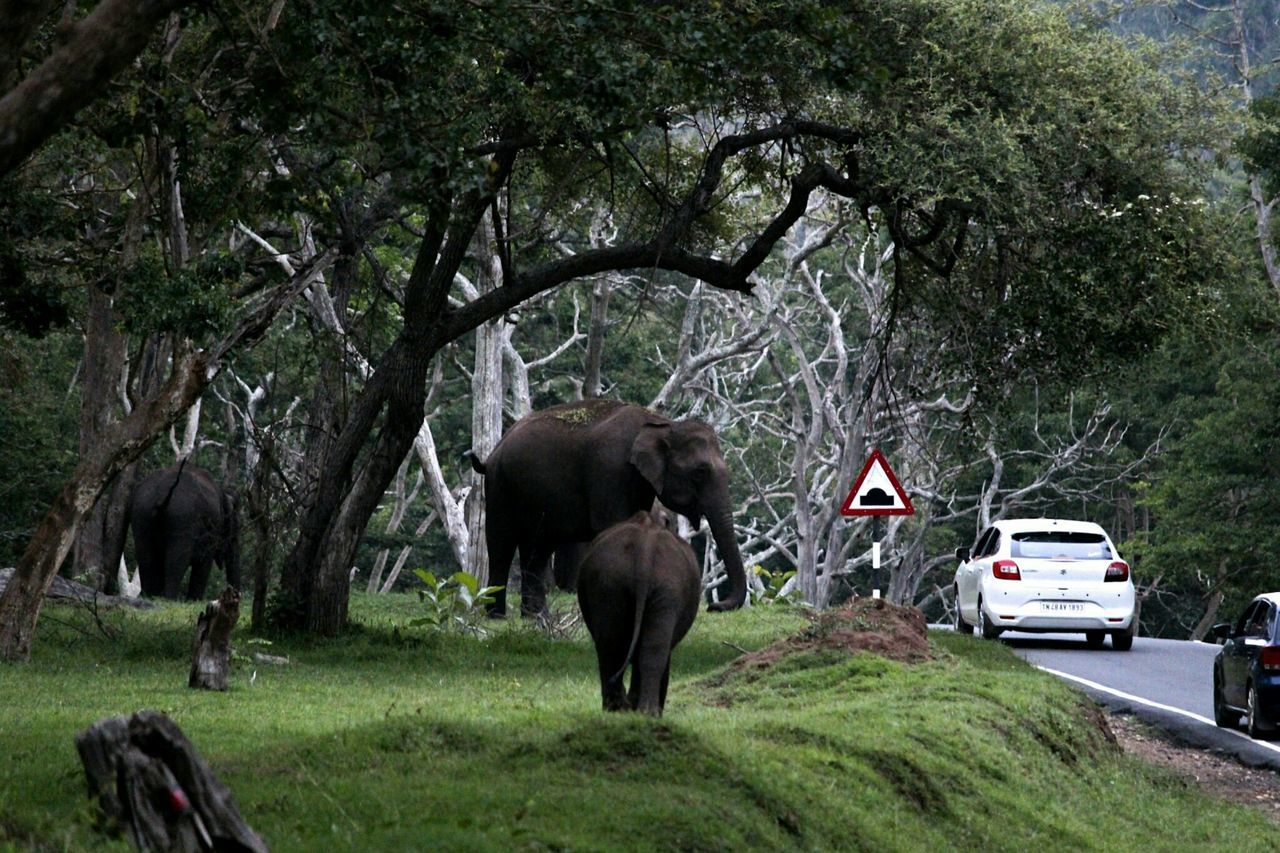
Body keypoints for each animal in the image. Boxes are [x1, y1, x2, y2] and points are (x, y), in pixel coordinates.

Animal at [128, 458, 240, 596]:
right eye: (235, 530)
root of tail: (163, 491)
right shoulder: (212, 528)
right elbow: (204, 563)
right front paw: (194, 599)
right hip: (182, 518)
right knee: (177, 560)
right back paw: (168, 597)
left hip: (141, 512)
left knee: (145, 556)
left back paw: (148, 596)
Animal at [471, 394, 747, 614]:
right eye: (700, 472)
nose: (714, 606)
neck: (661, 424)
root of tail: (491, 454)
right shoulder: (609, 469)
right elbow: (614, 525)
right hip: (499, 486)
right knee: (501, 543)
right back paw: (497, 616)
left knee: (536, 550)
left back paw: (536, 618)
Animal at [578, 507, 701, 712]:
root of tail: (645, 549)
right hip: (661, 585)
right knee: (650, 648)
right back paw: (642, 711)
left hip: (611, 582)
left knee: (610, 644)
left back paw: (624, 709)